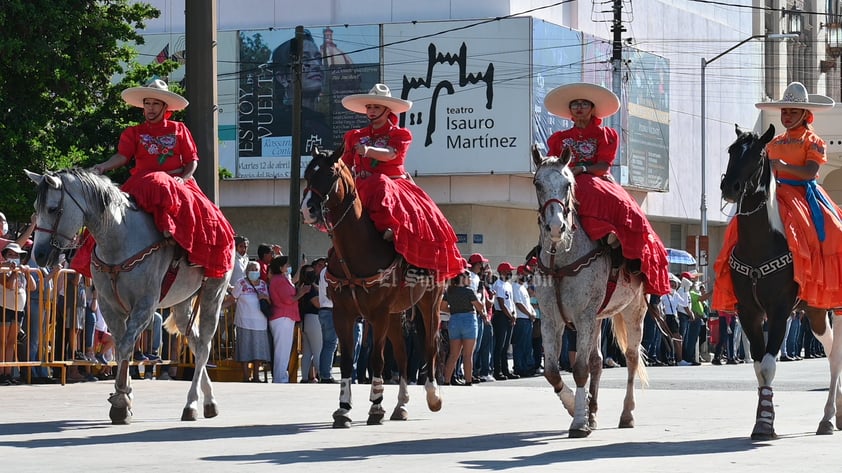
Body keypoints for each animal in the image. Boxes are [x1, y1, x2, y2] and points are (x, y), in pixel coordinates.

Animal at [27, 168, 230, 422]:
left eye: (53, 209)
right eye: (36, 208)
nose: (39, 254)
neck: (118, 237)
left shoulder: (144, 305)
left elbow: (124, 347)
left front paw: (121, 400)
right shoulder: (109, 306)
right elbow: (122, 346)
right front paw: (124, 395)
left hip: (214, 292)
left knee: (203, 348)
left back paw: (193, 404)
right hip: (182, 303)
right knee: (194, 342)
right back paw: (208, 400)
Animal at [298, 146, 442, 426]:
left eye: (330, 173)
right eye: (308, 174)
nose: (307, 209)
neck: (358, 250)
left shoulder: (378, 314)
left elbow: (377, 358)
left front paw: (376, 406)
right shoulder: (342, 314)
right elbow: (347, 361)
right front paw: (343, 408)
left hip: (430, 303)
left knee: (430, 347)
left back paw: (433, 396)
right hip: (397, 313)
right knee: (403, 356)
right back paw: (401, 405)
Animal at [528, 146, 648, 436]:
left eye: (568, 184)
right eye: (538, 183)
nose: (556, 227)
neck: (561, 260)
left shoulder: (583, 316)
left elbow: (580, 368)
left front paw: (578, 422)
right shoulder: (550, 319)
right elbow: (552, 371)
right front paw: (576, 408)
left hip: (633, 311)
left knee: (631, 358)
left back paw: (627, 414)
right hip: (598, 318)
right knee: (598, 360)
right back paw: (592, 412)